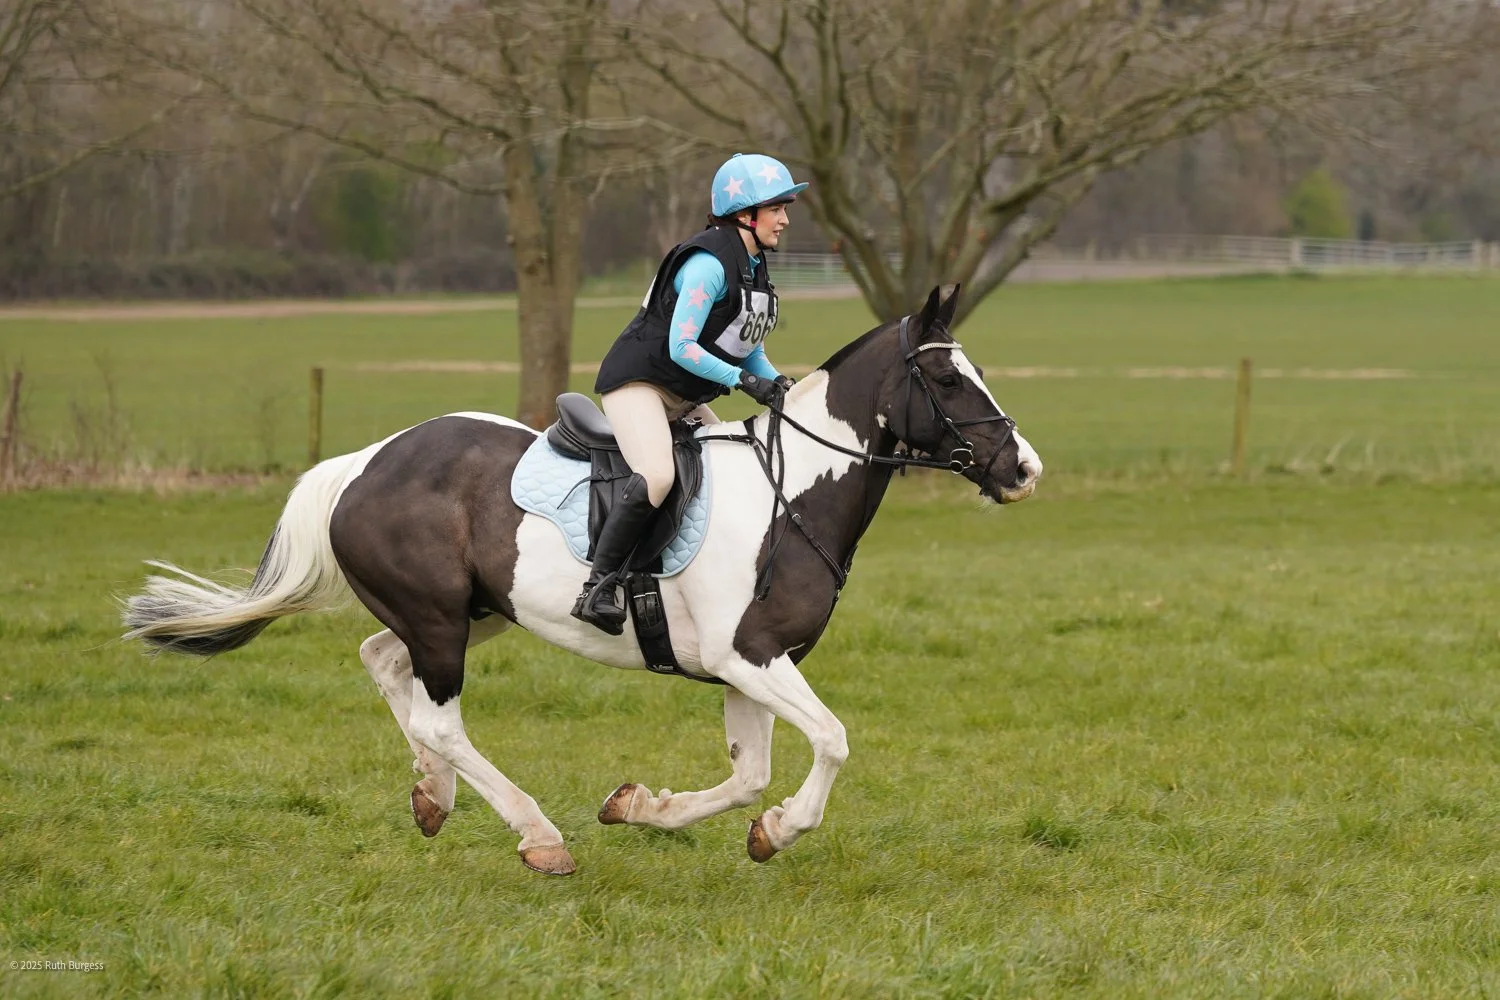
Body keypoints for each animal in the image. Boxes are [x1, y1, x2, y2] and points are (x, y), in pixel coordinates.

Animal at [122, 285, 1042, 875]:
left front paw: (643, 809)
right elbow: (831, 741)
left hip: (473, 610)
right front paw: (779, 832)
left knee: (387, 667)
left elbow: (749, 773)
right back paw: (537, 837)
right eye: (949, 378)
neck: (794, 491)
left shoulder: (748, 668)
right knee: (440, 717)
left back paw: (432, 795)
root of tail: (364, 461)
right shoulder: (749, 657)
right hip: (443, 621)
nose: (1023, 468)